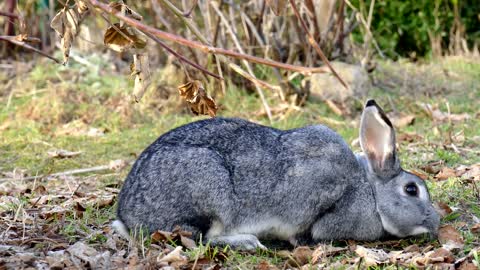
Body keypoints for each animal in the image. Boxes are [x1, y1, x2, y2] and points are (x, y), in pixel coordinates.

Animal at [112, 100, 438, 250]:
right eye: (412, 189)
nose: (435, 222)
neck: (369, 191)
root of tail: (126, 217)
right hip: (209, 190)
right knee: (202, 238)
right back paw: (248, 242)